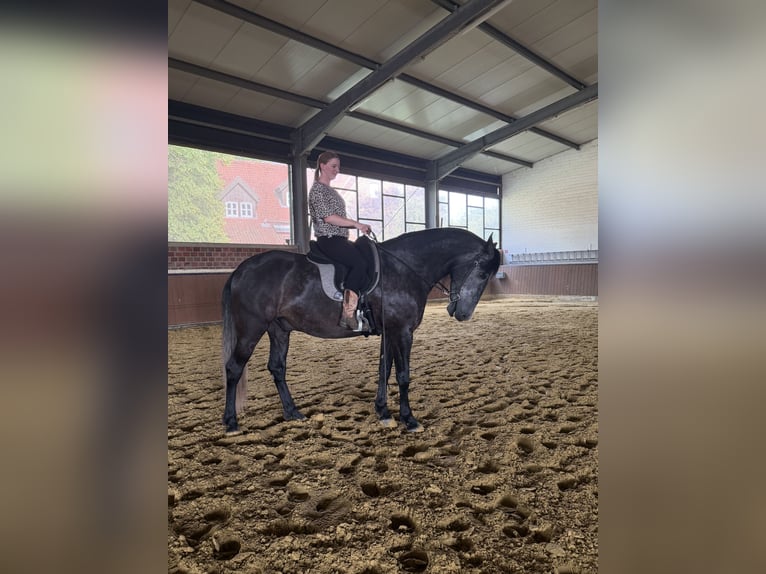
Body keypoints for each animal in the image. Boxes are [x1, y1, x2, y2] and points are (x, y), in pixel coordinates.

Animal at [221, 227, 501, 434]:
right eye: (482, 273)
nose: (463, 313)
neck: (404, 268)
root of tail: (241, 270)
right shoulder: (403, 332)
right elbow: (402, 375)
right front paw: (409, 419)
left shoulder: (389, 332)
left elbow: (383, 370)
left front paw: (383, 412)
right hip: (251, 329)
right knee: (234, 368)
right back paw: (231, 422)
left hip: (279, 330)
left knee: (277, 368)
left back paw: (292, 412)